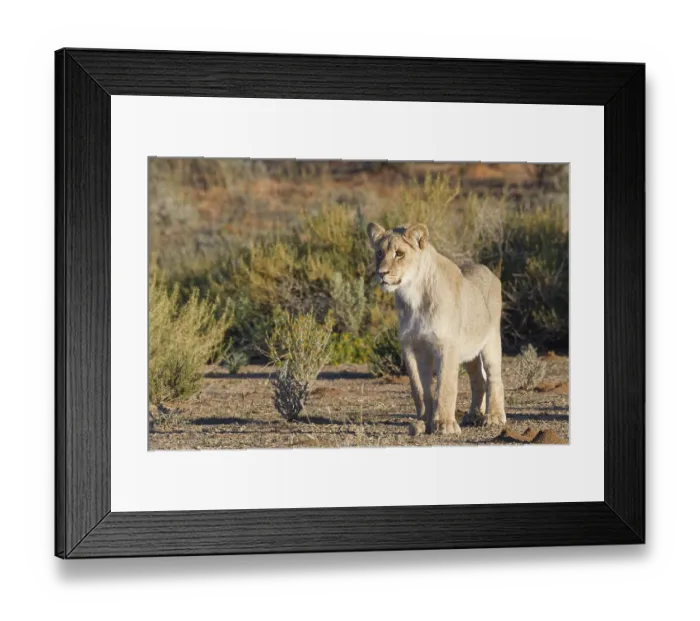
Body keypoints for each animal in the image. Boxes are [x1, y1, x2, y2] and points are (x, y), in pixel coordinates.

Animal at [367, 222, 506, 435]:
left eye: (399, 253)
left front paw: (445, 424)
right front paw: (423, 421)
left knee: (494, 378)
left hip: (490, 340)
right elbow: (418, 388)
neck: (413, 296)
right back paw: (474, 415)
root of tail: (488, 270)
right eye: (379, 253)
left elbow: (445, 385)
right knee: (478, 380)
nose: (381, 273)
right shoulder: (411, 346)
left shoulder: (447, 345)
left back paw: (494, 417)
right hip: (469, 352)